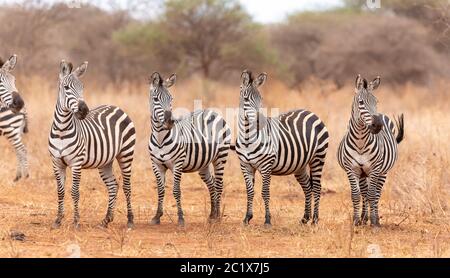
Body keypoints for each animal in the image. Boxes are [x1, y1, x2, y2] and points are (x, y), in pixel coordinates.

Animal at [49, 60, 136, 228]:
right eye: (66, 87)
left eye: (82, 87)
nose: (84, 110)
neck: (62, 130)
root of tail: (115, 106)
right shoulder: (57, 163)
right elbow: (60, 191)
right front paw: (58, 220)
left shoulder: (76, 163)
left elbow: (75, 191)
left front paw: (76, 221)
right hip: (105, 161)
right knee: (113, 186)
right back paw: (106, 219)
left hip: (126, 154)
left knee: (127, 187)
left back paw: (130, 220)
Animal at [149, 71, 232, 226]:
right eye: (156, 99)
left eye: (171, 98)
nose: (169, 122)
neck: (160, 139)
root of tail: (212, 112)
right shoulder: (156, 165)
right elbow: (160, 190)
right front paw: (156, 217)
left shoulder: (177, 164)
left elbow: (176, 190)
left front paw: (181, 218)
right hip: (203, 164)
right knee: (212, 184)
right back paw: (212, 215)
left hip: (220, 157)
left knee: (219, 185)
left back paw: (218, 217)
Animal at [234, 70, 328, 227]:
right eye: (246, 99)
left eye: (261, 99)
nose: (260, 121)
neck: (248, 138)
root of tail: (311, 113)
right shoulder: (245, 165)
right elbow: (250, 191)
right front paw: (247, 218)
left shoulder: (266, 166)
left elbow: (265, 192)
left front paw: (267, 220)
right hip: (300, 165)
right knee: (307, 187)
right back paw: (305, 218)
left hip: (318, 158)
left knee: (317, 187)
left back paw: (315, 219)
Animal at [338, 75, 404, 227]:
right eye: (361, 102)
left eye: (377, 101)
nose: (378, 125)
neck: (360, 142)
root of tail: (383, 115)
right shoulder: (352, 169)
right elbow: (356, 195)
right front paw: (356, 221)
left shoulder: (375, 169)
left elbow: (372, 195)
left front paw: (374, 222)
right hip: (363, 174)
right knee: (364, 192)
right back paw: (363, 217)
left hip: (383, 172)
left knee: (376, 194)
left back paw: (375, 218)